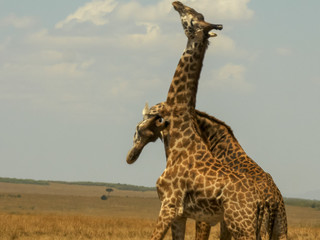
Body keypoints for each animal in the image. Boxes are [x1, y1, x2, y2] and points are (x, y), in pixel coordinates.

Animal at [127, 2, 264, 240]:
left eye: (191, 18)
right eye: (195, 13)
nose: (177, 4)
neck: (181, 138)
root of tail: (260, 202)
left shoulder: (169, 205)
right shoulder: (180, 214)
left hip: (241, 224)